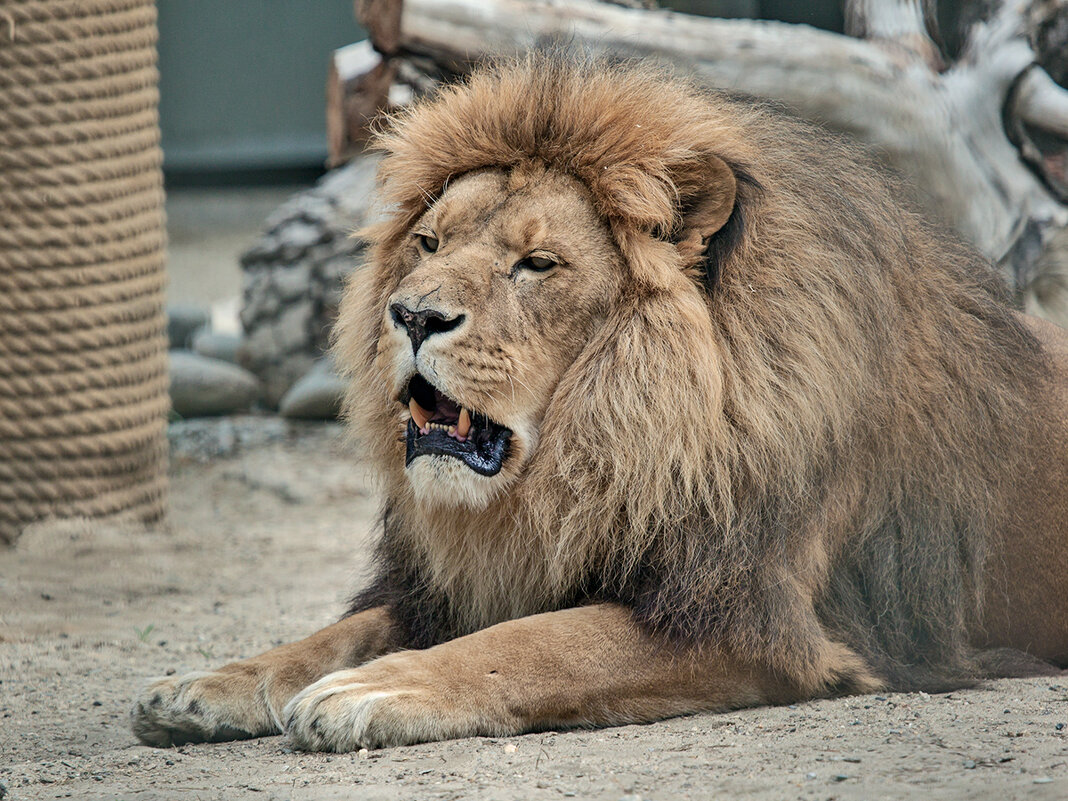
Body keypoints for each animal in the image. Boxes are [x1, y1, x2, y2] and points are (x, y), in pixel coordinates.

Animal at [131, 55, 1068, 751]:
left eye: (537, 265)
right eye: (428, 243)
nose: (413, 315)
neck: (603, 452)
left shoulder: (744, 615)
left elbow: (539, 642)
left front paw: (377, 689)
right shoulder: (462, 579)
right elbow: (343, 629)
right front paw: (210, 681)